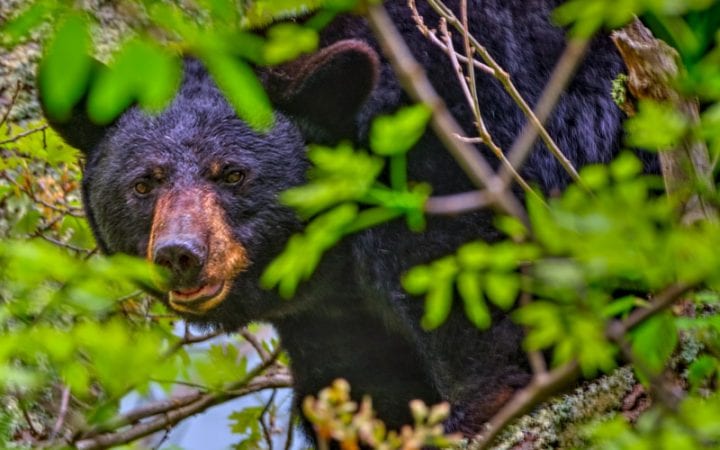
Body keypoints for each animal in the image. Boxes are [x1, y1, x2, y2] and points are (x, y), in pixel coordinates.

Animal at [43, 0, 636, 442]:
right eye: (144, 183)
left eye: (233, 173)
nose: (180, 254)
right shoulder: (333, 319)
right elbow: (361, 387)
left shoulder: (445, 167)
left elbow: (478, 300)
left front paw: (483, 409)